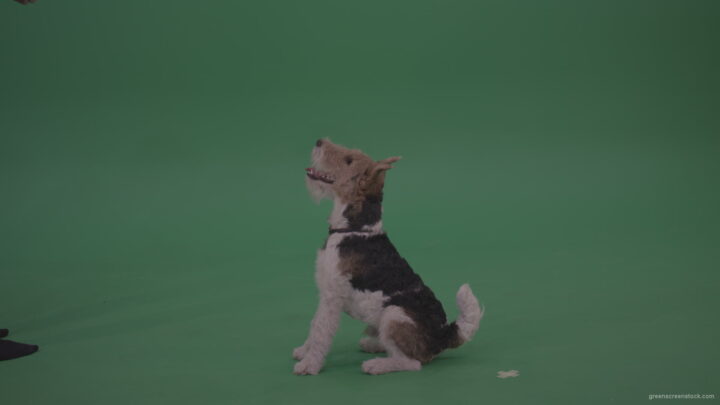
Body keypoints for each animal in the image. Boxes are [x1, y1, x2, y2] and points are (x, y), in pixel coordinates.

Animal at [292, 139, 484, 376]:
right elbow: (314, 325)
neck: (355, 228)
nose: (319, 141)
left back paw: (376, 364)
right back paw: (373, 344)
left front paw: (309, 365)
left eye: (349, 160)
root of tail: (443, 334)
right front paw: (303, 351)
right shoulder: (325, 293)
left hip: (394, 315)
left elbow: (320, 331)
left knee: (412, 362)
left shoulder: (331, 296)